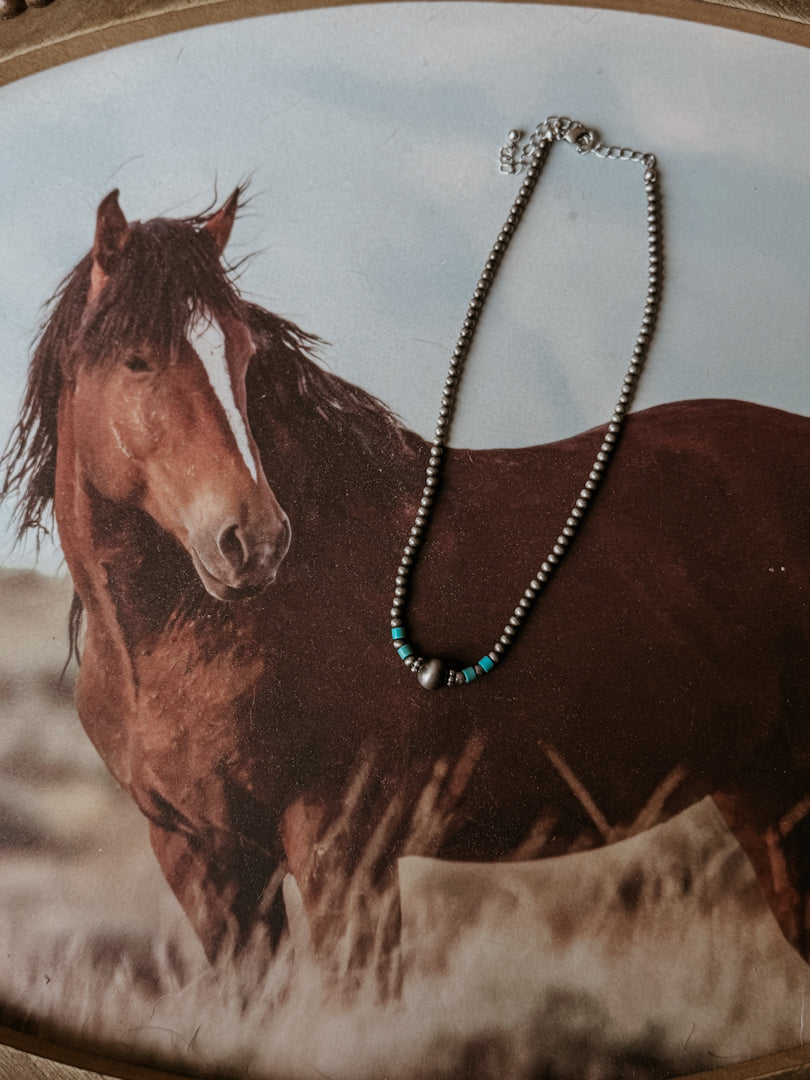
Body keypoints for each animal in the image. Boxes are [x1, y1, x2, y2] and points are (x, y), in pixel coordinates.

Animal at [2, 189, 809, 989]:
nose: (253, 540)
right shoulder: (207, 862)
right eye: (138, 360)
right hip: (761, 795)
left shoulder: (344, 854)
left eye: (242, 357)